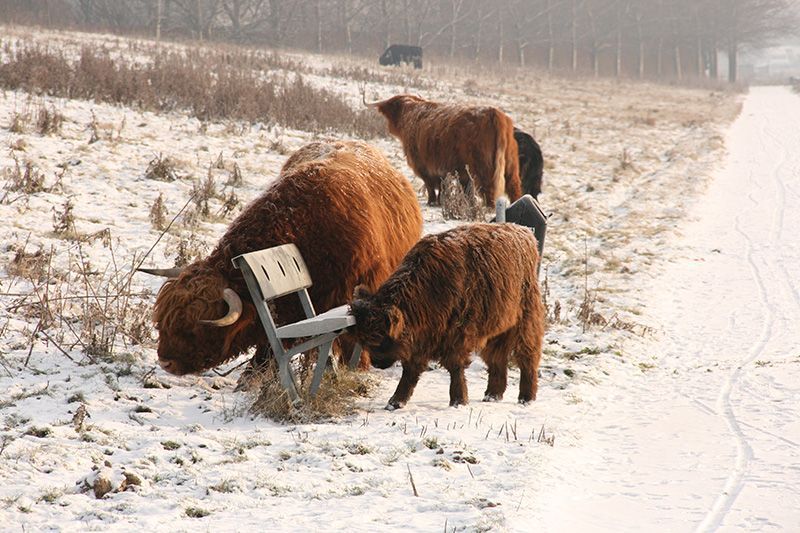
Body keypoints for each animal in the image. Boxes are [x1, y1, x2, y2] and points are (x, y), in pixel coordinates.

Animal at [348, 220, 544, 408]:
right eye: (363, 339)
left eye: (380, 337)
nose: (377, 363)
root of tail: (524, 232)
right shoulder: (421, 341)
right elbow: (410, 371)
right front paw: (396, 401)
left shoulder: (458, 335)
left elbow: (455, 367)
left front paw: (458, 400)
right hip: (497, 328)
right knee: (497, 359)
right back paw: (492, 395)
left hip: (526, 322)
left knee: (527, 357)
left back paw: (526, 398)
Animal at [370, 93, 524, 206]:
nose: (389, 128)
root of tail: (494, 113)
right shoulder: (455, 171)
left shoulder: (422, 165)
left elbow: (431, 185)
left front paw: (432, 202)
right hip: (510, 164)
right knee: (514, 187)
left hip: (483, 166)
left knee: (489, 189)